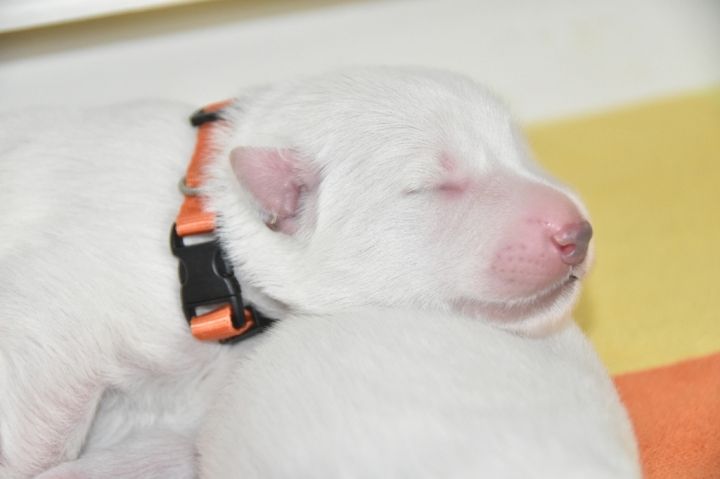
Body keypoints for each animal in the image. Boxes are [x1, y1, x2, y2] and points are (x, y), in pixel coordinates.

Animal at [0, 67, 639, 478]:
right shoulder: (60, 310)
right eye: (431, 186)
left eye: (521, 152)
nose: (577, 232)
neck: (205, 236)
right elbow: (37, 421)